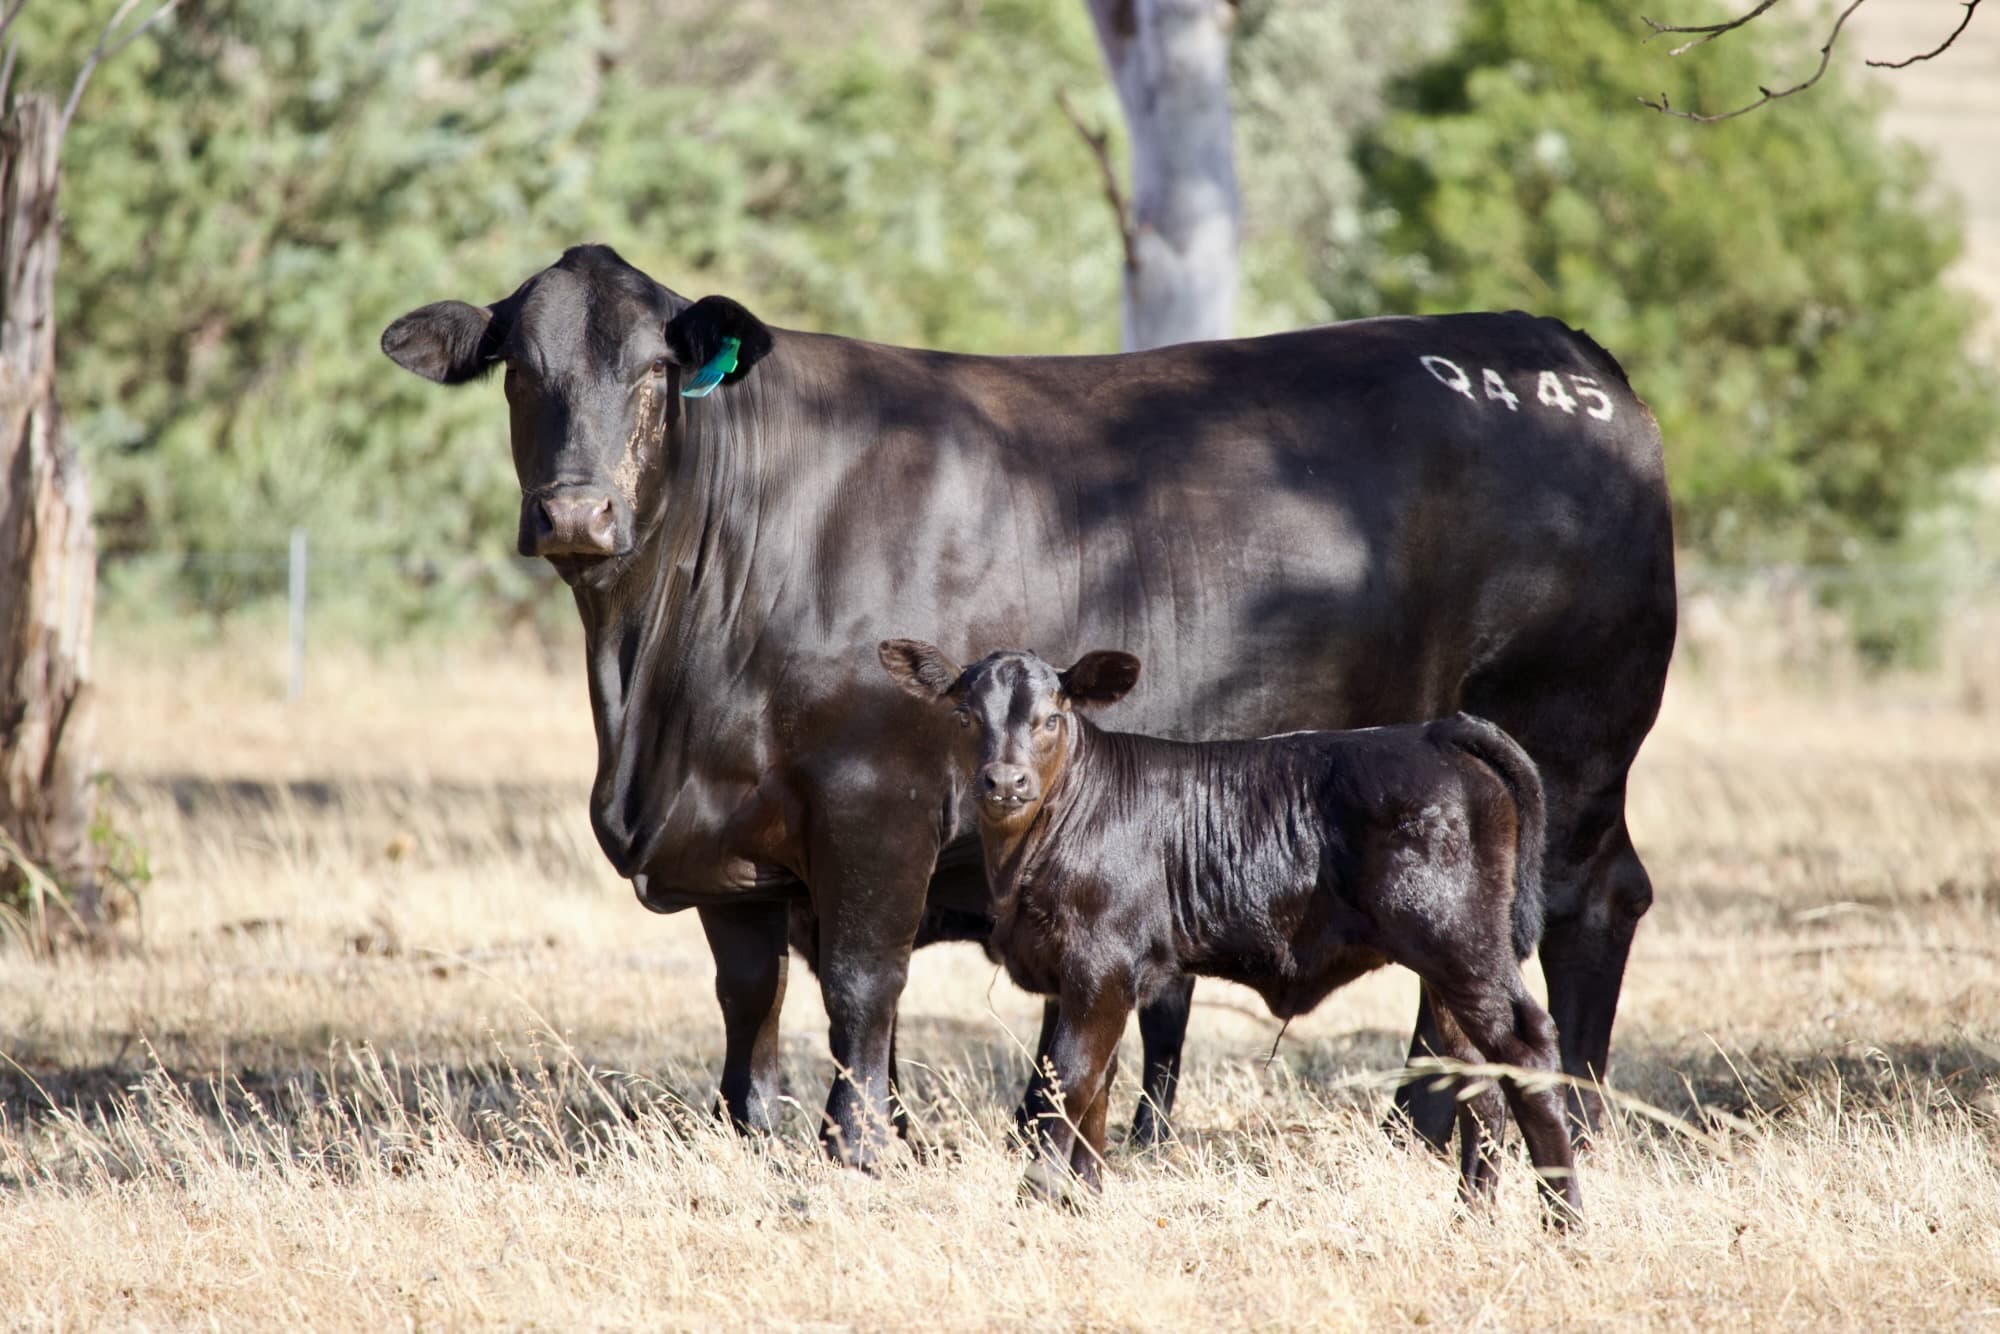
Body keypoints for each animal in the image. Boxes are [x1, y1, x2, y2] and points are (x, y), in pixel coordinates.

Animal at [878, 642, 1579, 1225]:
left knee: (1527, 1048)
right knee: (1479, 1077)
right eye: (965, 717)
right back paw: (1471, 1217)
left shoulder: (1101, 967)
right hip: (1447, 962)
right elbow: (1096, 1087)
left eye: (1052, 717)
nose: (1005, 782)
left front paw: (1037, 1200)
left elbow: (1069, 1081)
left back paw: (1562, 1220)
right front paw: (1084, 1202)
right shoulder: (1082, 977)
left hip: (1456, 939)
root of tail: (1437, 730)